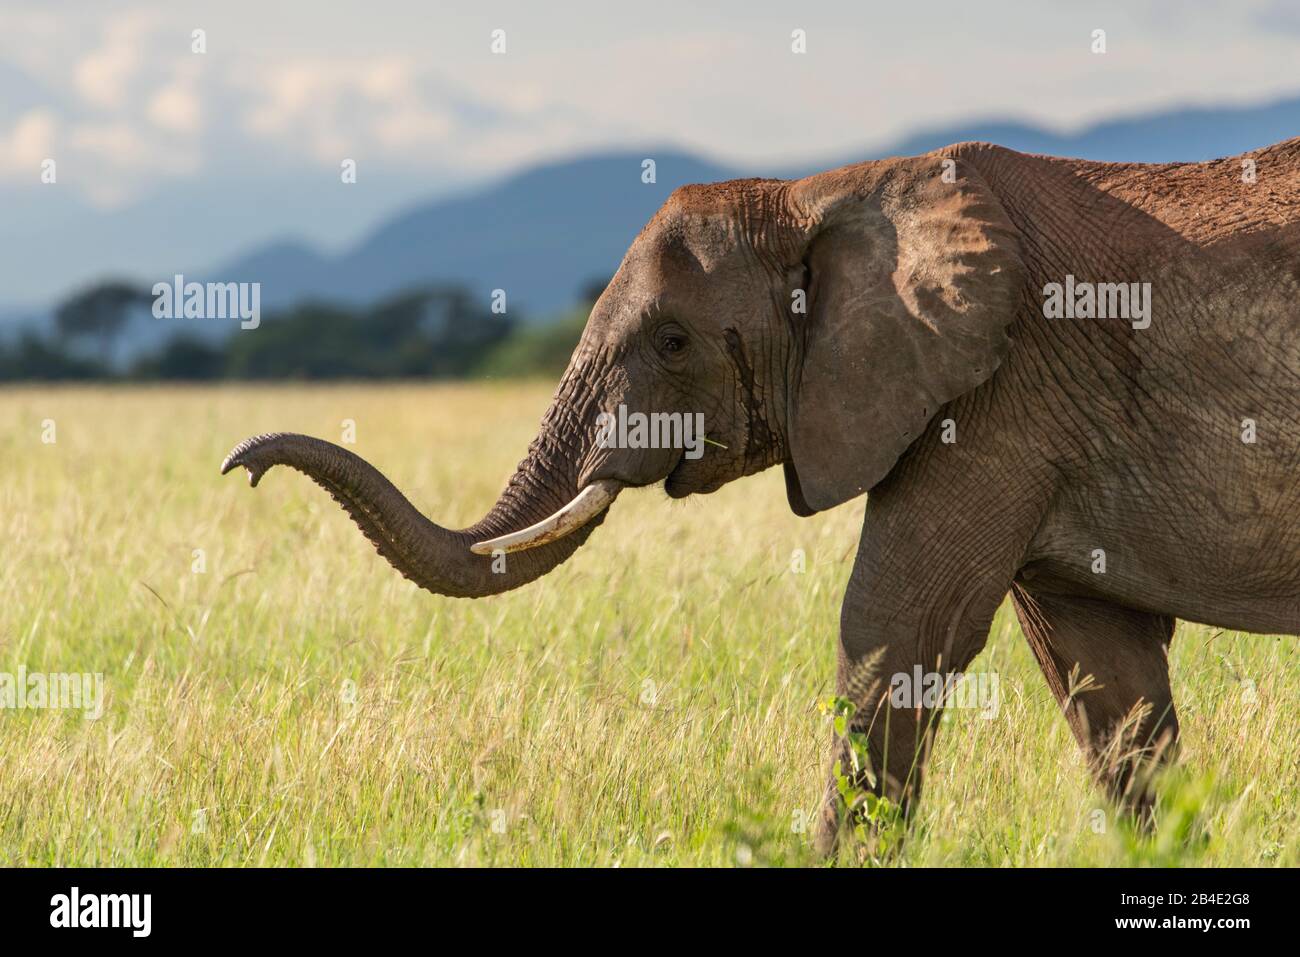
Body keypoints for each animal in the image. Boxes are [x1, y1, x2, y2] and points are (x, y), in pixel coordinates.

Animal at [223, 134, 1300, 852]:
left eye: (672, 341)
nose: (245, 468)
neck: (818, 194)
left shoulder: (995, 400)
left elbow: (896, 635)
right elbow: (1104, 677)